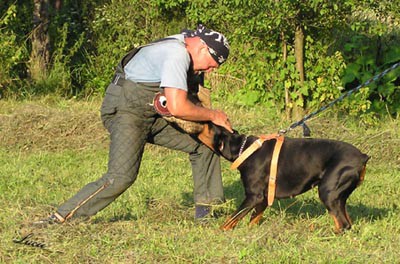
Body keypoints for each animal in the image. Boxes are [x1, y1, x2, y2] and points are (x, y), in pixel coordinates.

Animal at [198, 124, 370, 233]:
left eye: (208, 125)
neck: (244, 149)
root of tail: (362, 157)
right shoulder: (263, 198)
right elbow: (253, 219)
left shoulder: (253, 196)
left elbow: (230, 219)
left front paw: (217, 233)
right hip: (338, 196)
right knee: (347, 222)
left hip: (327, 192)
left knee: (343, 224)